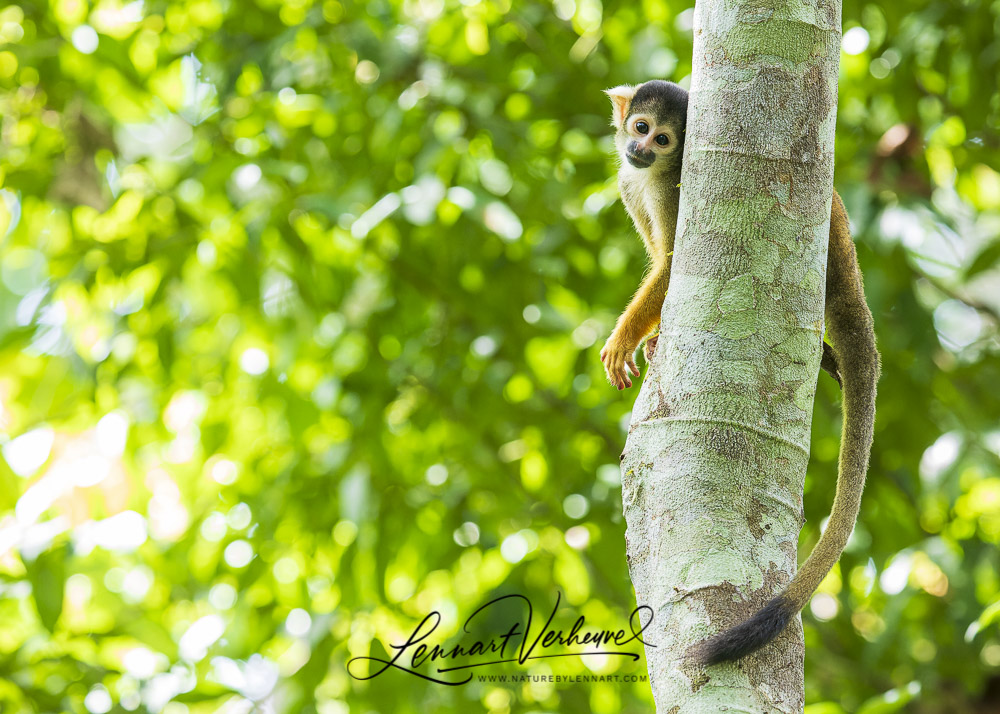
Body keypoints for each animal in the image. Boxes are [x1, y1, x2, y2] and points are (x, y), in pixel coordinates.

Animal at [604, 80, 880, 664]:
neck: (648, 175)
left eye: (664, 140)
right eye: (639, 128)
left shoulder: (673, 185)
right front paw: (648, 337)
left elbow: (671, 264)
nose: (640, 149)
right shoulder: (629, 183)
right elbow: (658, 256)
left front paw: (624, 340)